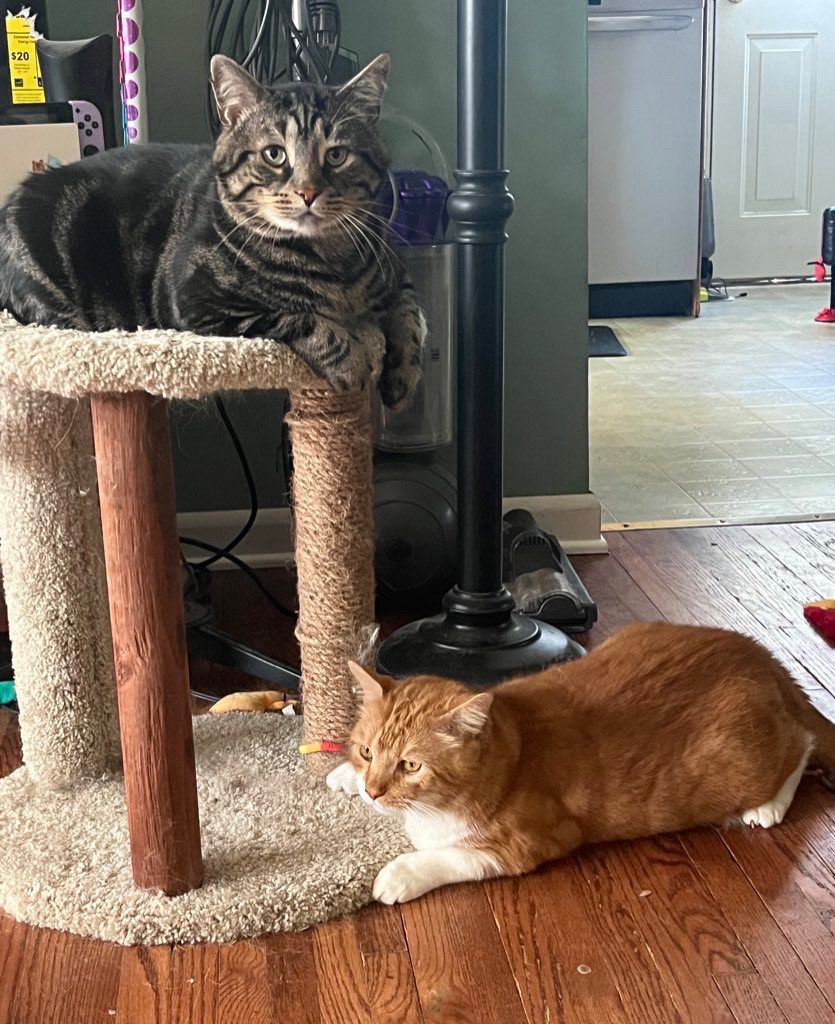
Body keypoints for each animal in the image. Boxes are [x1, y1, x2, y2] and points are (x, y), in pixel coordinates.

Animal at [325, 622, 835, 905]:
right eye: (367, 752)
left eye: (410, 766)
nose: (373, 790)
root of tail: (764, 658)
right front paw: (345, 777)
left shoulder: (524, 845)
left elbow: (446, 856)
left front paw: (400, 873)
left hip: (742, 762)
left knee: (804, 742)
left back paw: (768, 806)